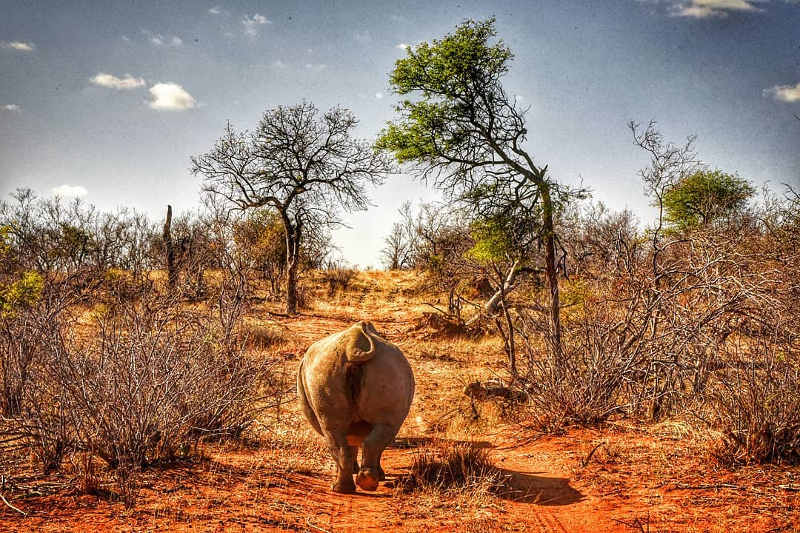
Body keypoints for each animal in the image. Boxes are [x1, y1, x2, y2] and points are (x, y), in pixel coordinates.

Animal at [296, 320, 416, 490]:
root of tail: (353, 347)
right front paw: (377, 475)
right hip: (388, 370)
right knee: (384, 427)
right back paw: (363, 483)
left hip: (326, 371)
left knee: (335, 433)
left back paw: (343, 488)